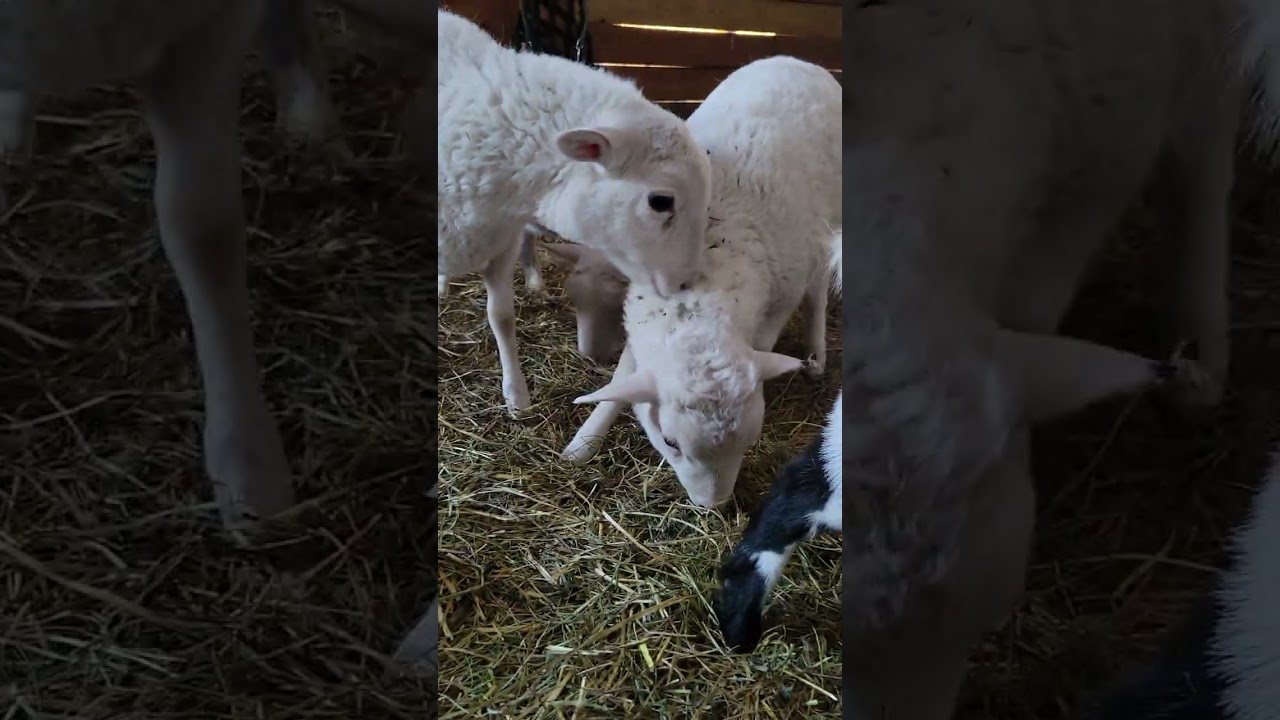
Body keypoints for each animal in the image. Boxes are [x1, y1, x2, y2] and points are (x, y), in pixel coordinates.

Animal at [562, 55, 840, 509]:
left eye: (750, 442)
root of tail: (798, 60)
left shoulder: (773, 309)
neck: (702, 291)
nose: (713, 506)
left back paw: (815, 354)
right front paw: (584, 441)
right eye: (670, 442)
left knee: (817, 289)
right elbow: (622, 379)